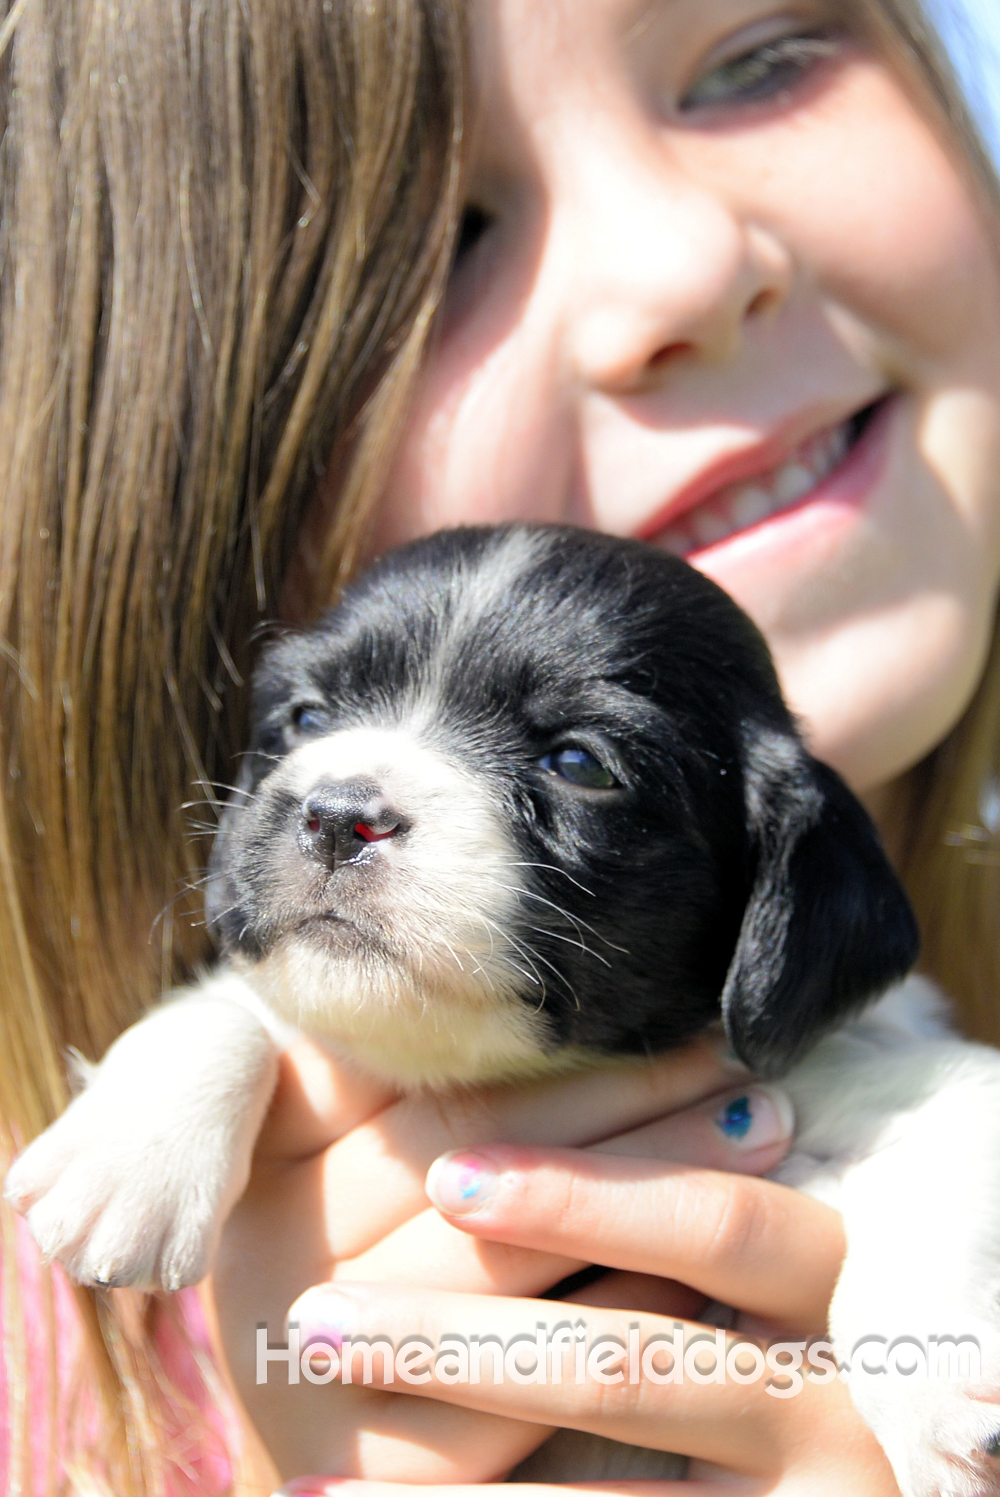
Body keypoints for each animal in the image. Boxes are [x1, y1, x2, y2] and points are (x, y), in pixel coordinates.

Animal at [5, 526, 999, 1497]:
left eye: (578, 764)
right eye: (309, 718)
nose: (337, 813)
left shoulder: (912, 1076)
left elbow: (927, 1204)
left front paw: (940, 1395)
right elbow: (228, 1006)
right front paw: (128, 1161)